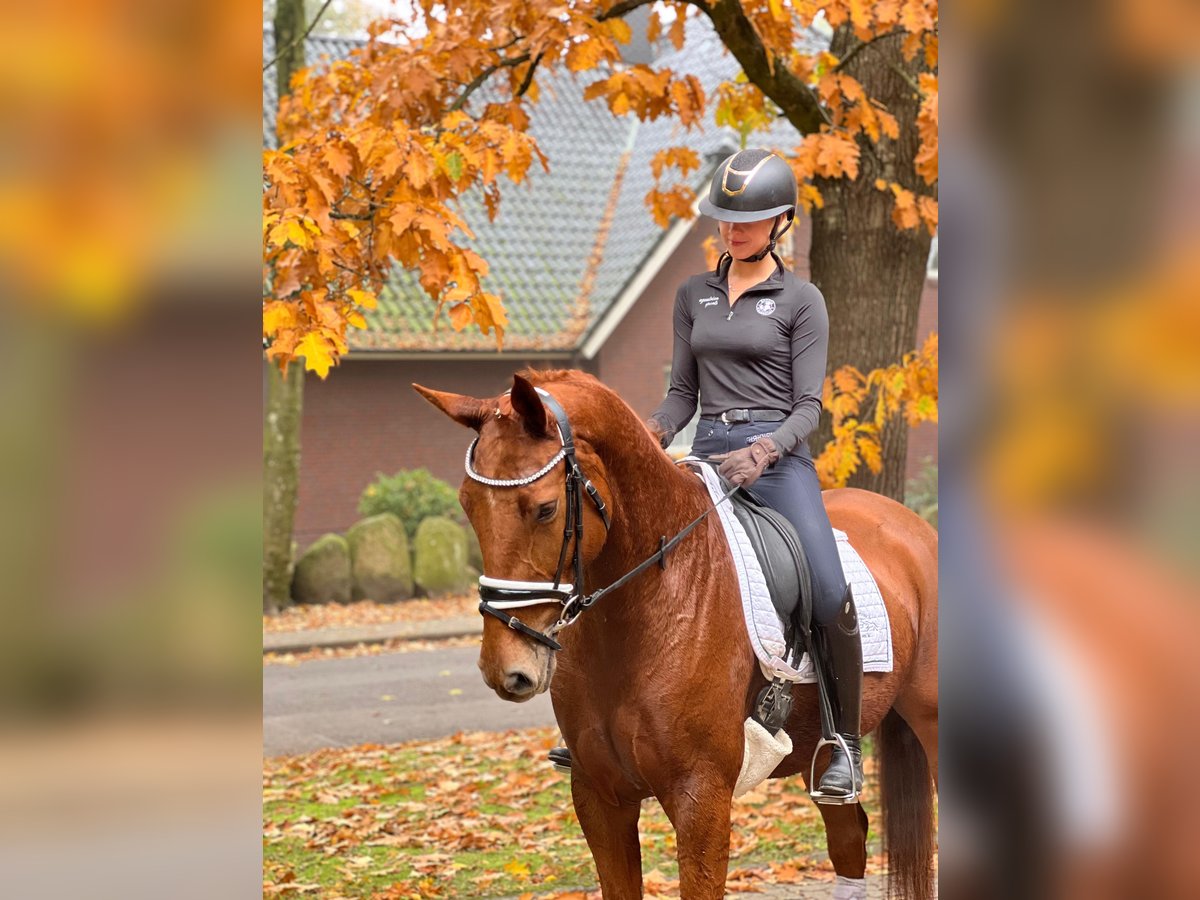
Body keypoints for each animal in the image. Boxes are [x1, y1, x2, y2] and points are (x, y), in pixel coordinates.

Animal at [415, 369, 936, 897]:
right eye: (467, 504)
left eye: (544, 509)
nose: (506, 669)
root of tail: (912, 525)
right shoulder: (599, 798)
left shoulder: (700, 799)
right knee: (849, 839)